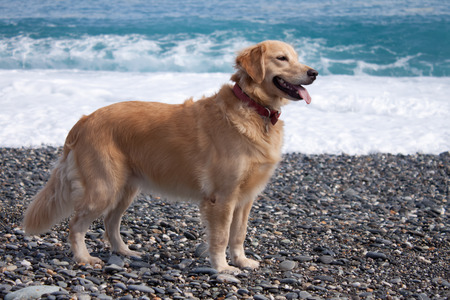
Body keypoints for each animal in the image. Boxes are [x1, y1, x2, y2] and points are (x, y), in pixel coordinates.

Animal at [23, 40, 316, 274]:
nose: (315, 73)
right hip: (103, 188)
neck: (255, 109)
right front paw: (222, 268)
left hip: (126, 189)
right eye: (281, 58)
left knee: (110, 222)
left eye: (296, 57)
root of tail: (84, 120)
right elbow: (221, 237)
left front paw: (241, 262)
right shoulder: (222, 197)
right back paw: (84, 258)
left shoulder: (245, 198)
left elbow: (238, 235)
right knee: (76, 224)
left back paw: (124, 251)